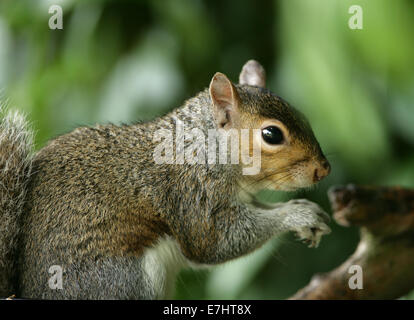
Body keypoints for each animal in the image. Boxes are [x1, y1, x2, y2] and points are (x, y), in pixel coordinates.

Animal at [0, 60, 330, 300]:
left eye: (303, 116)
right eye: (272, 134)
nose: (323, 170)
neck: (201, 149)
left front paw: (306, 213)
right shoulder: (192, 196)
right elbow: (217, 243)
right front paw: (297, 214)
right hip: (127, 280)